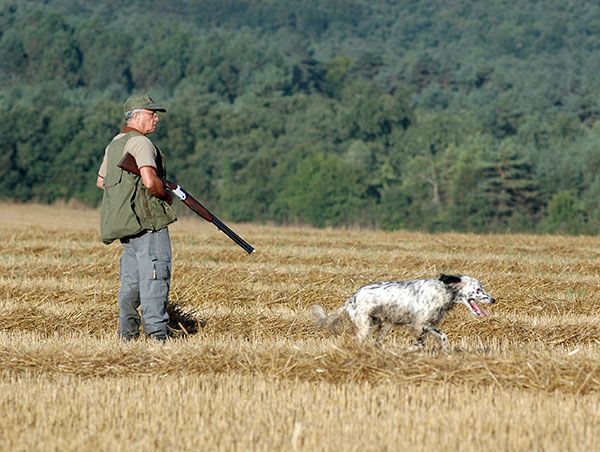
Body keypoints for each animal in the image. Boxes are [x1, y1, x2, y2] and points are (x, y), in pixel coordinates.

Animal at [312, 274, 494, 352]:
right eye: (478, 290)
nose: (493, 300)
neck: (444, 290)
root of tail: (352, 298)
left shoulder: (426, 325)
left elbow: (436, 338)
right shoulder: (421, 323)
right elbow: (430, 339)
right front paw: (412, 349)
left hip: (384, 325)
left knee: (377, 342)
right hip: (365, 326)